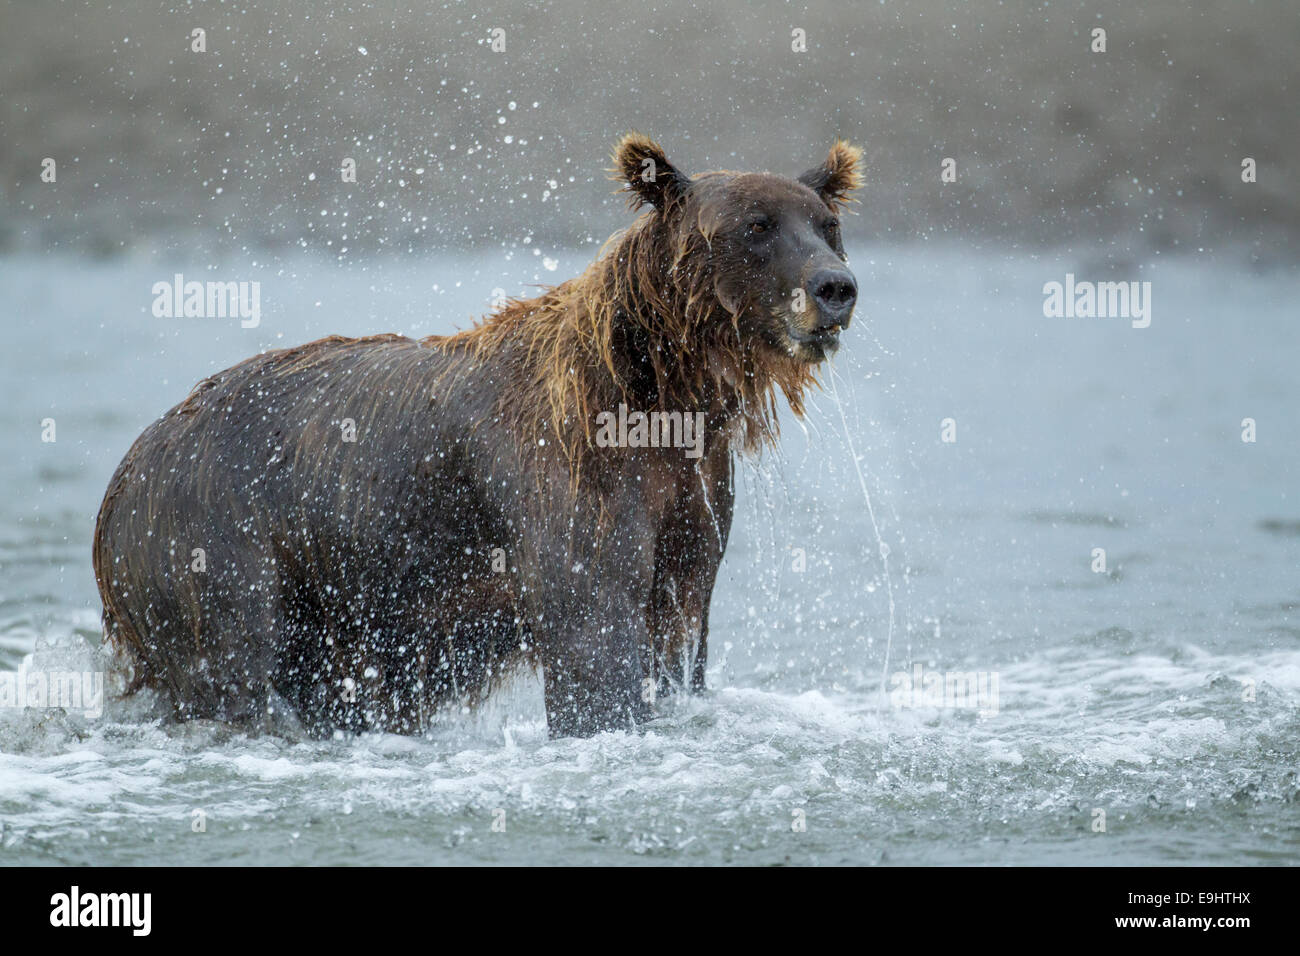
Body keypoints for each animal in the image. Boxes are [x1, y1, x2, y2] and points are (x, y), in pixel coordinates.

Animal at [91, 130, 863, 738]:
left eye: (825, 223)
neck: (659, 394)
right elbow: (594, 637)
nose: (835, 287)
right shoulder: (574, 478)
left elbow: (676, 635)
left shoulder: (690, 494)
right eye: (757, 225)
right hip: (215, 536)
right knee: (234, 661)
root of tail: (128, 467)